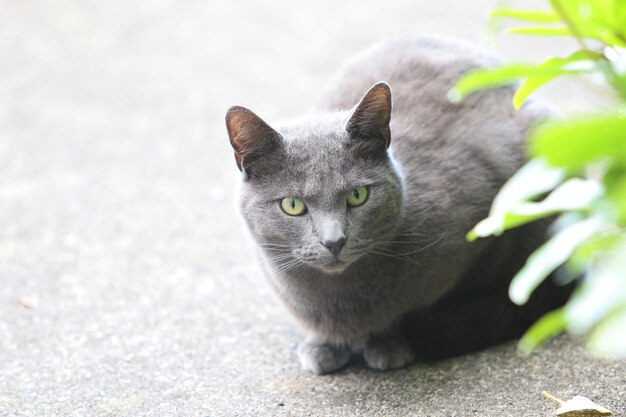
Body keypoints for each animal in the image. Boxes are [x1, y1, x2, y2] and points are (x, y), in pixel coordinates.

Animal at [225, 37, 572, 372]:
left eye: (357, 195)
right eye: (293, 205)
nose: (334, 241)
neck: (337, 299)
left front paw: (388, 343)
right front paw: (322, 345)